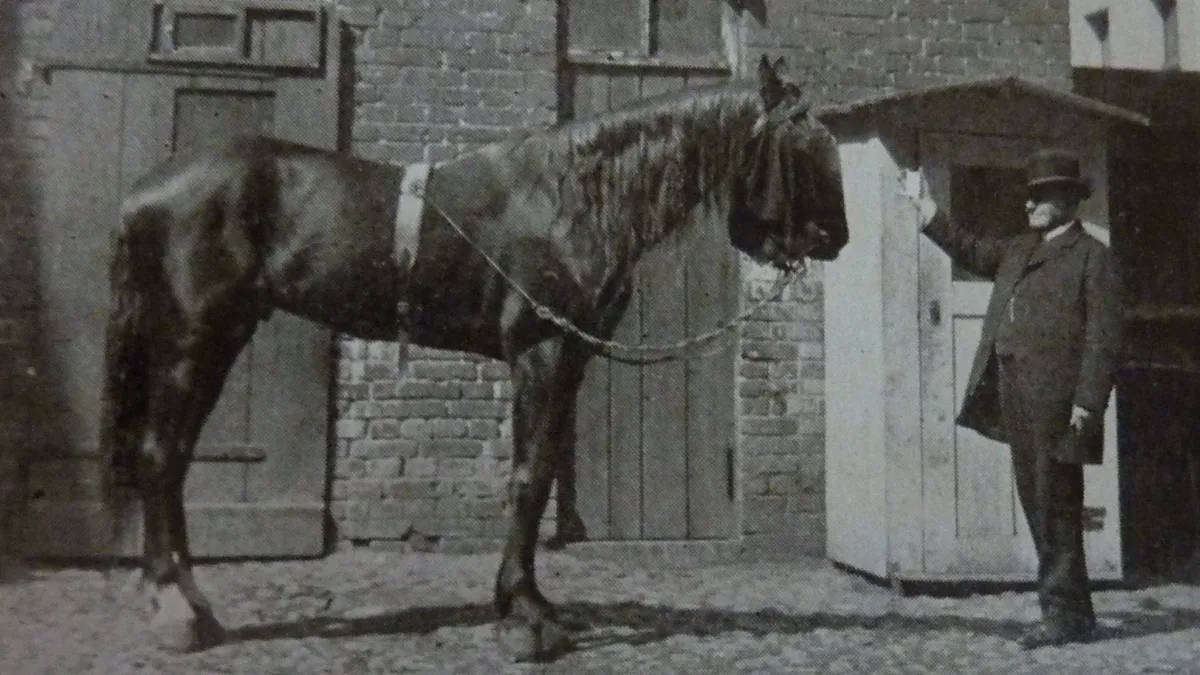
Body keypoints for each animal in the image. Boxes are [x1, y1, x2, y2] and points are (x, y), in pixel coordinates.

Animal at [98, 54, 848, 662]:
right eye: (803, 139)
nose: (836, 237)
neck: (569, 200)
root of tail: (142, 192)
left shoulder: (570, 357)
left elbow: (538, 475)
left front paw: (528, 603)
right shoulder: (540, 352)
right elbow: (529, 478)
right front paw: (524, 616)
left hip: (219, 337)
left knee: (174, 457)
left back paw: (192, 602)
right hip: (191, 338)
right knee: (160, 453)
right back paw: (175, 608)